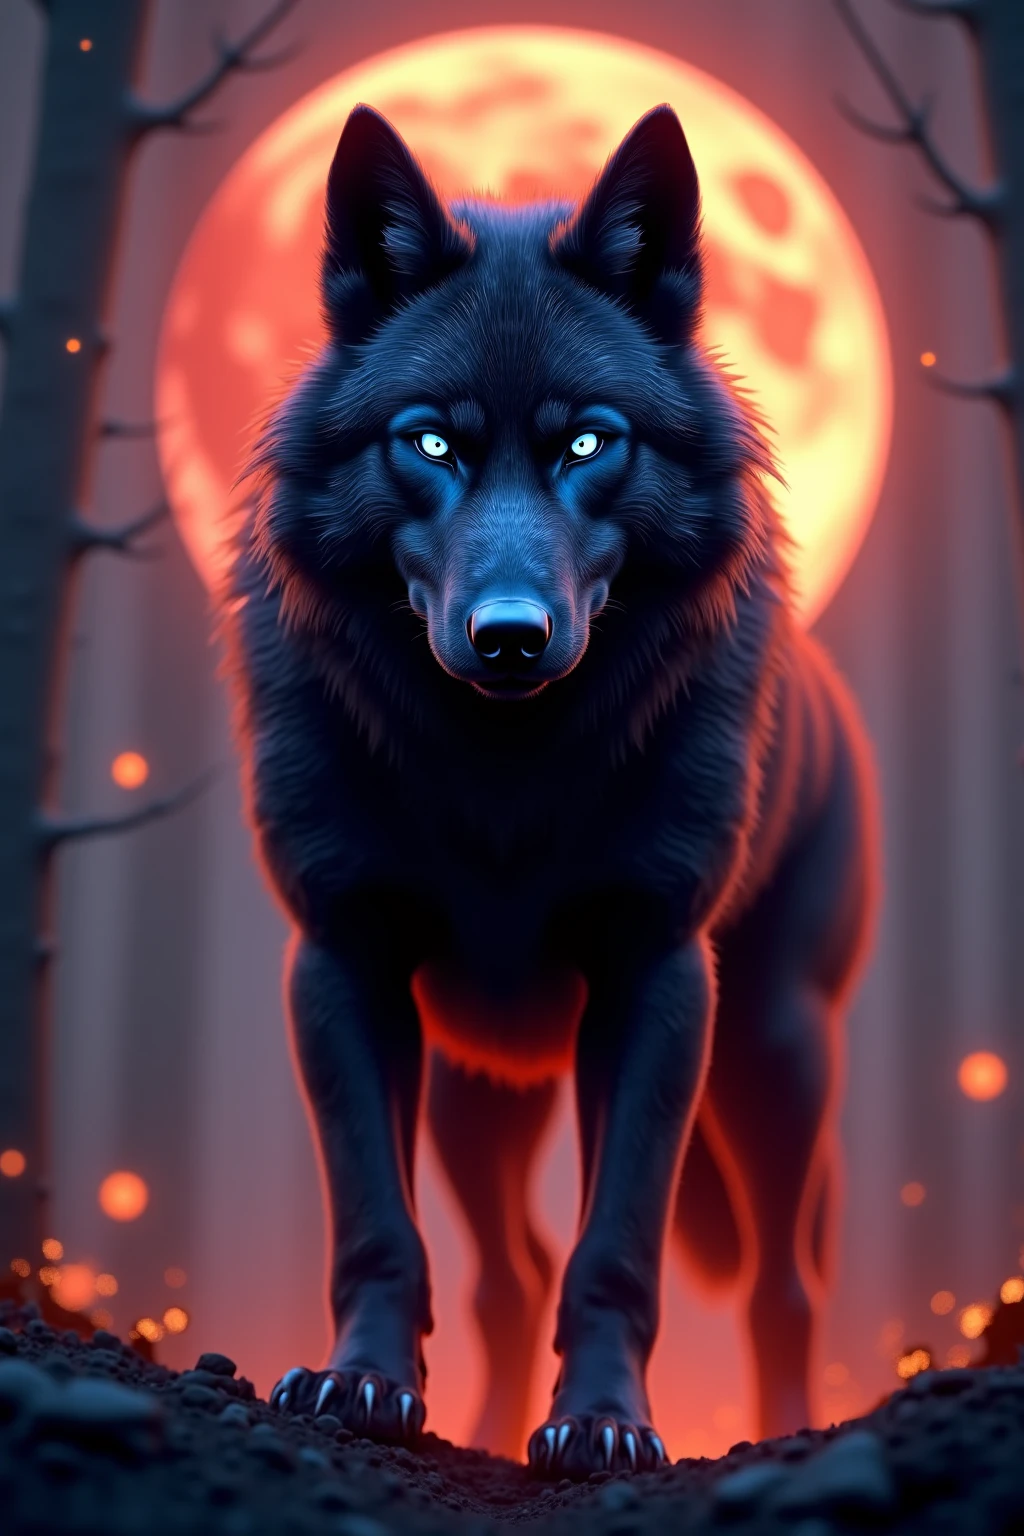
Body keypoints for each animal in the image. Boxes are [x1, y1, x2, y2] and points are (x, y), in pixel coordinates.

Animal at [225, 101, 878, 1477]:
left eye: (587, 441)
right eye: (430, 441)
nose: (511, 639)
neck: (501, 774)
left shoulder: (656, 974)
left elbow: (616, 1248)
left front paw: (604, 1428)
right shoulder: (342, 958)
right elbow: (377, 1224)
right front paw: (362, 1388)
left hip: (775, 1055)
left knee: (781, 1285)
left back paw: (789, 1431)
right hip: (483, 1089)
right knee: (508, 1276)